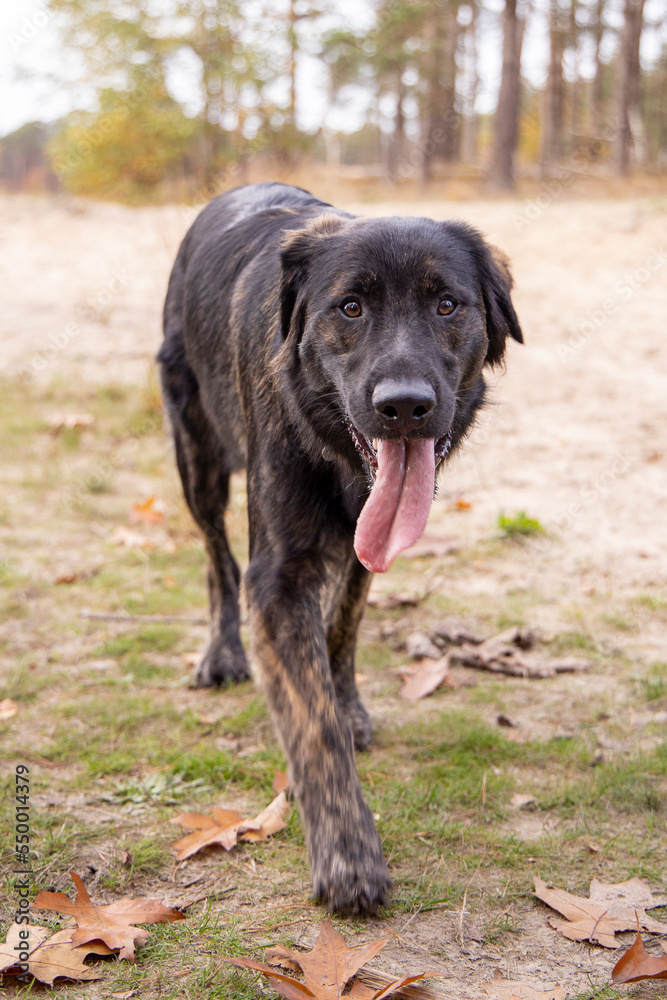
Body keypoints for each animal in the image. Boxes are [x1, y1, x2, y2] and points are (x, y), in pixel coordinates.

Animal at [159, 180, 524, 916]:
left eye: (446, 304)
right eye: (350, 307)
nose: (404, 406)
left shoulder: (365, 544)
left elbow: (344, 624)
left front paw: (345, 699)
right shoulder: (277, 576)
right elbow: (313, 725)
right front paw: (348, 857)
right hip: (196, 456)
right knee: (216, 555)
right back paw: (220, 650)